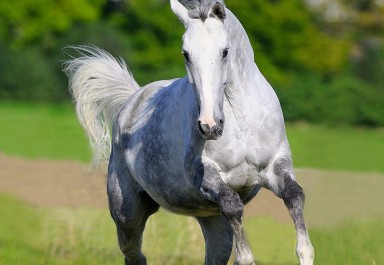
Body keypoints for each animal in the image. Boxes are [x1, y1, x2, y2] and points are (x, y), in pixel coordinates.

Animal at [63, 0, 316, 264]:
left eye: (225, 51)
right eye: (186, 53)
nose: (210, 126)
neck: (240, 118)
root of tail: (131, 100)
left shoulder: (275, 166)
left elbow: (295, 197)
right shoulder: (205, 175)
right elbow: (234, 210)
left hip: (211, 219)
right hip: (126, 214)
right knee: (134, 254)